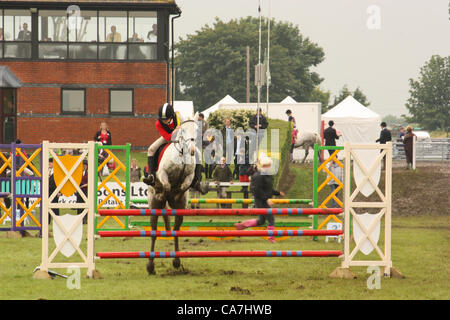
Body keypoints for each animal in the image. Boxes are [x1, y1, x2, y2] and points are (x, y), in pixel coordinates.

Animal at [146, 112, 200, 276]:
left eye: (196, 130)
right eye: (183, 131)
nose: (192, 150)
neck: (181, 154)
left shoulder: (189, 176)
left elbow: (184, 186)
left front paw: (175, 194)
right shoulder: (163, 174)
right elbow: (166, 186)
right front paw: (164, 193)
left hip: (181, 210)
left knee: (176, 230)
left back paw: (176, 261)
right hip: (153, 206)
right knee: (154, 231)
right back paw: (150, 266)